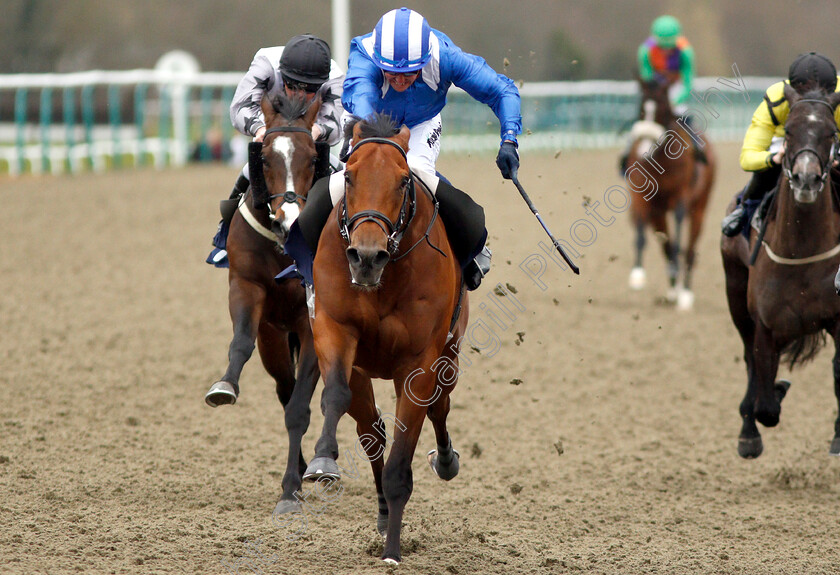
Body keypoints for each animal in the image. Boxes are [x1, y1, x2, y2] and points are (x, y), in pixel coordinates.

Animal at [207, 94, 324, 512]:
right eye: (267, 158)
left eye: (312, 157)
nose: (289, 218)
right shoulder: (247, 288)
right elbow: (240, 343)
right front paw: (224, 387)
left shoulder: (312, 321)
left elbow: (300, 410)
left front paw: (290, 489)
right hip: (274, 339)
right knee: (284, 389)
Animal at [306, 113, 470, 568]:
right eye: (349, 174)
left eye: (402, 181)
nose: (366, 257)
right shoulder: (334, 329)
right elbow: (335, 396)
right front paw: (322, 459)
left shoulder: (419, 363)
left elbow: (402, 460)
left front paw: (393, 551)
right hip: (364, 371)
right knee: (371, 430)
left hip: (449, 356)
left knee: (439, 408)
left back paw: (445, 461)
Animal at [624, 77, 716, 310]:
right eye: (641, 108)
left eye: (662, 109)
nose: (643, 150)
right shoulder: (641, 196)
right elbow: (641, 233)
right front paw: (637, 274)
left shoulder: (681, 197)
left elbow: (679, 236)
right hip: (658, 213)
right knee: (666, 246)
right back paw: (674, 289)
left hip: (700, 207)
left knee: (690, 249)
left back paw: (685, 293)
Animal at [720, 85, 840, 462]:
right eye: (788, 131)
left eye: (831, 133)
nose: (806, 178)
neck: (800, 249)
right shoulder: (765, 323)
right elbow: (766, 404)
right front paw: (766, 404)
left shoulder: (838, 319)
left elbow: (839, 370)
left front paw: (838, 436)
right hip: (735, 294)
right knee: (749, 360)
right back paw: (749, 430)